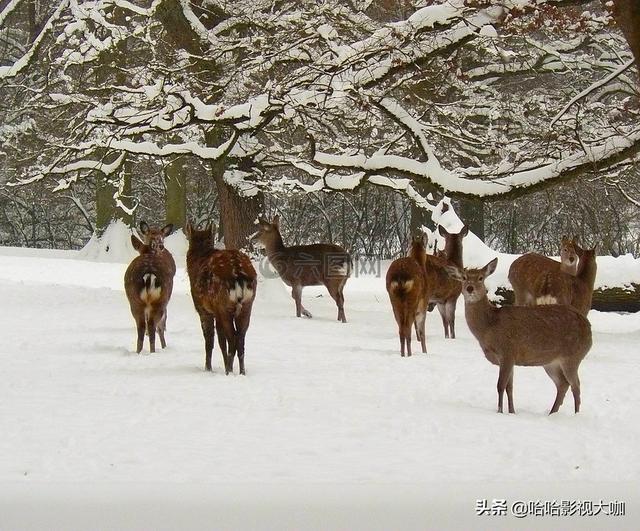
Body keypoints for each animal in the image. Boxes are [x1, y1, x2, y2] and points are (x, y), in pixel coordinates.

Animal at [124, 222, 175, 356]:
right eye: (153, 235)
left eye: (161, 237)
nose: (161, 246)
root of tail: (149, 274)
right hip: (159, 301)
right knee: (151, 325)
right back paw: (151, 352)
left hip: (135, 300)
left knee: (144, 326)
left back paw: (142, 352)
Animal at [184, 222, 256, 376]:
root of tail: (239, 274)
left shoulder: (204, 310)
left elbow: (211, 340)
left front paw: (208, 368)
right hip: (247, 306)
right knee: (240, 339)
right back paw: (241, 372)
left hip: (223, 306)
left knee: (232, 338)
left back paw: (228, 371)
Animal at [444, 258, 592, 416]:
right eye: (464, 277)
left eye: (480, 278)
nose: (470, 288)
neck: (489, 328)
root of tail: (588, 329)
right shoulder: (510, 359)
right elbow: (509, 387)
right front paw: (512, 411)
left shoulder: (507, 352)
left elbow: (500, 385)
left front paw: (500, 411)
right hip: (550, 362)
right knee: (563, 384)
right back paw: (552, 413)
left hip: (572, 356)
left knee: (576, 385)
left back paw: (576, 414)